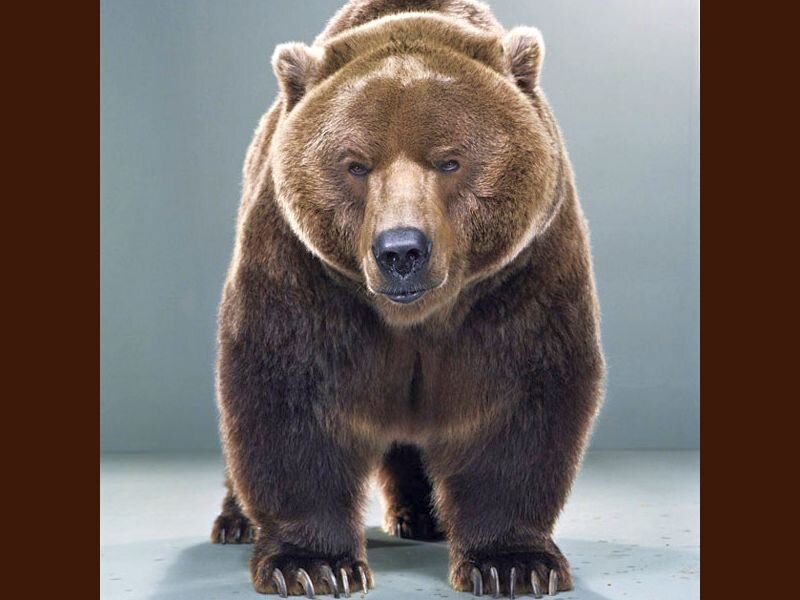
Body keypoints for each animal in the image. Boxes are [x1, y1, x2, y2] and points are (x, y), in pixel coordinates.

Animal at [211, 0, 605, 597]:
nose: (401, 250)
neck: (417, 316)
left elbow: (516, 400)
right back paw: (235, 522)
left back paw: (424, 517)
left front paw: (513, 562)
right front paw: (311, 564)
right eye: (355, 164)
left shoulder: (520, 278)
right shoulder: (303, 274)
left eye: (449, 160)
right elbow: (288, 392)